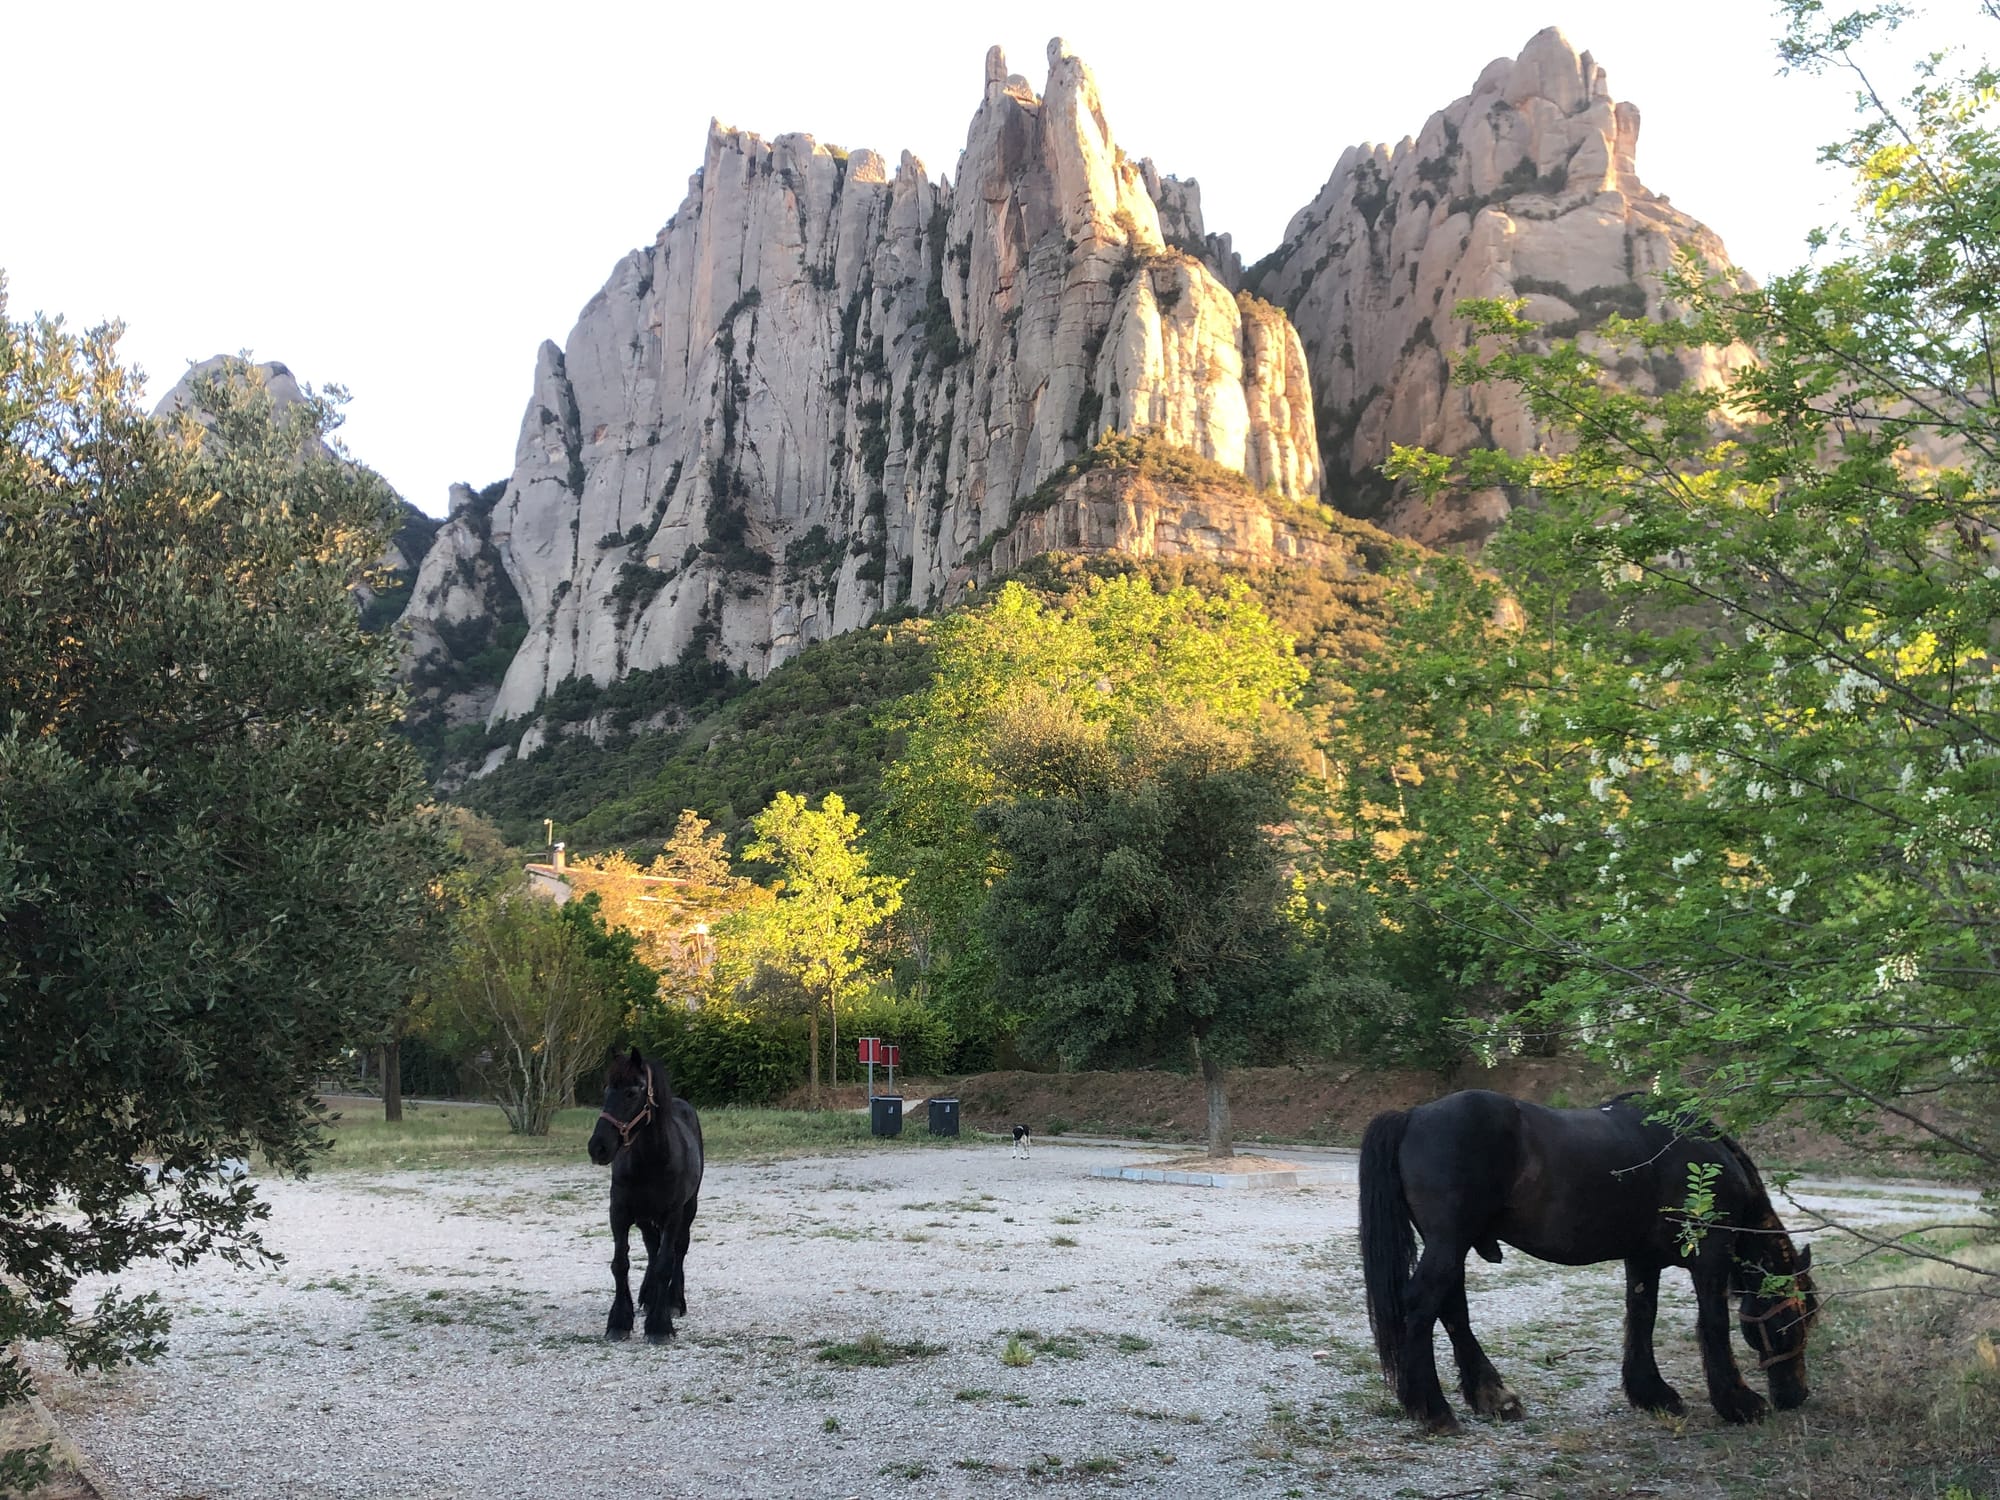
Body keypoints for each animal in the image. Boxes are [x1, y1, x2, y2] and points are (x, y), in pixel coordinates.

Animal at [584, 1048, 704, 1344]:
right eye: (606, 1090)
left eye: (631, 1092)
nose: (598, 1147)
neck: (652, 1160)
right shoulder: (620, 1212)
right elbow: (621, 1263)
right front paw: (619, 1321)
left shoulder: (673, 1214)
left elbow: (665, 1263)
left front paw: (659, 1326)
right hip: (645, 1217)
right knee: (652, 1247)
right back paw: (649, 1297)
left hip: (688, 1208)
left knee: (678, 1250)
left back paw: (673, 1302)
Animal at [1360, 1096, 1816, 1432]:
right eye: (1792, 1320)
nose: (1796, 1397)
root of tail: (1413, 1116)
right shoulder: (1710, 1255)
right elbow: (1714, 1325)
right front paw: (1739, 1403)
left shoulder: (1643, 1260)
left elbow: (1642, 1316)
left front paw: (1652, 1393)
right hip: (1449, 1243)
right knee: (1423, 1306)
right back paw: (1435, 1410)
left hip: (1453, 1245)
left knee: (1453, 1311)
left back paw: (1494, 1398)